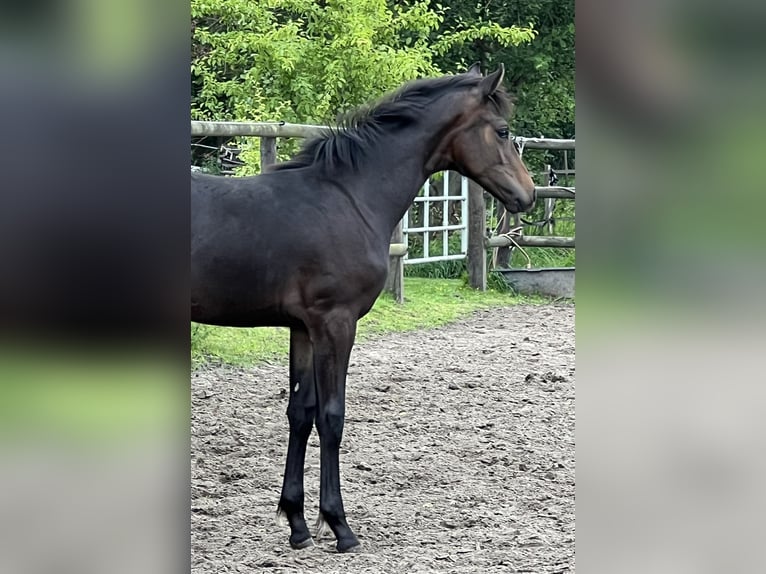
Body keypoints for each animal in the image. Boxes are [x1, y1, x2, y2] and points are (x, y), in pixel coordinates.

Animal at [191, 65, 536, 556]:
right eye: (502, 130)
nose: (528, 196)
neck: (349, 198)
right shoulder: (335, 324)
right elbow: (332, 417)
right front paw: (339, 526)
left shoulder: (303, 329)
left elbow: (301, 413)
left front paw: (297, 524)